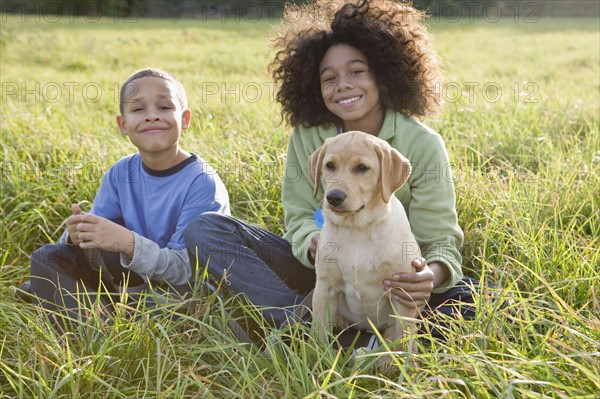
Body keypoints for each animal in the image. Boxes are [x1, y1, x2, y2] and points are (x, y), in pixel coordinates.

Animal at [308, 130, 420, 356]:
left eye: (362, 168)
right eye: (329, 165)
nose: (333, 197)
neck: (357, 228)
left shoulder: (401, 291)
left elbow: (405, 340)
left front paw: (408, 363)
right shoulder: (325, 288)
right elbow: (319, 332)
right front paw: (319, 358)